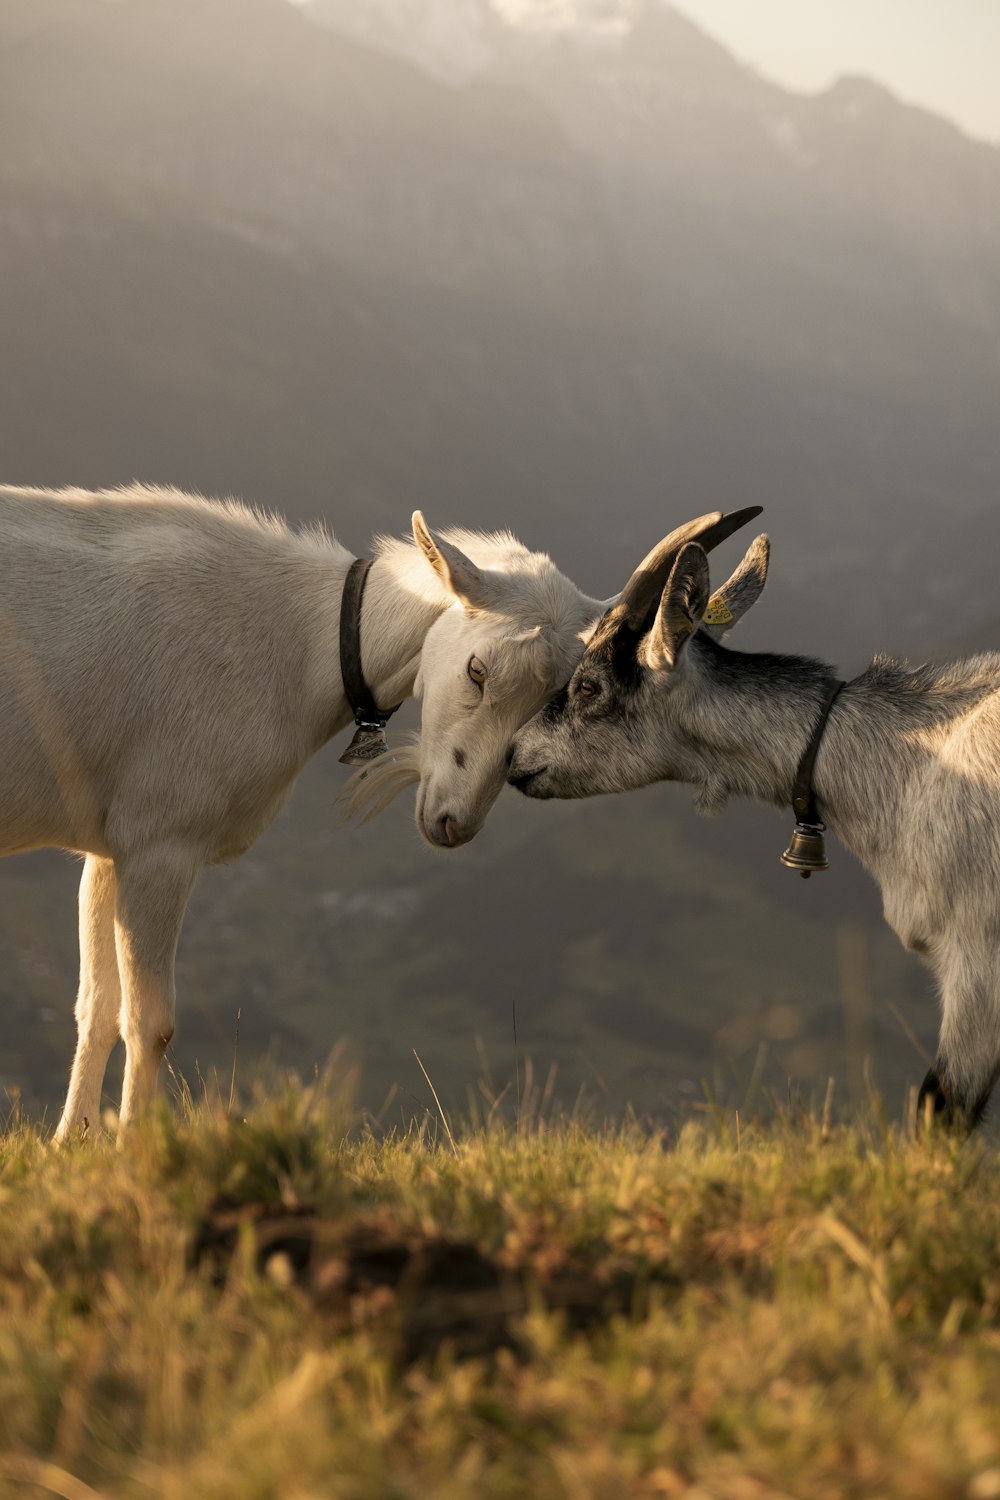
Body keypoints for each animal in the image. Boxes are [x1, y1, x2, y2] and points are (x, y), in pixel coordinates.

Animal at [1, 483, 617, 1134]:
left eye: (556, 700)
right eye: (477, 670)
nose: (455, 822)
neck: (299, 644)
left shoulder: (111, 845)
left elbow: (96, 1007)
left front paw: (72, 1141)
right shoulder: (161, 838)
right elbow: (150, 1024)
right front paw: (135, 1148)